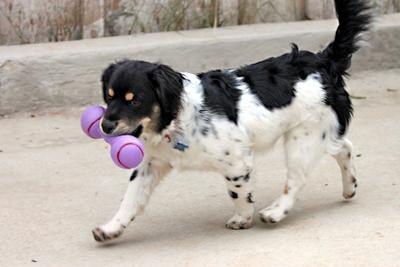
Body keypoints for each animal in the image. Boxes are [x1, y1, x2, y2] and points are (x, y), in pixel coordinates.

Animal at [93, 0, 372, 243]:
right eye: (109, 97)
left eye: (135, 100)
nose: (105, 126)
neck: (177, 121)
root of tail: (324, 61)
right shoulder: (151, 165)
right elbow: (131, 199)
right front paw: (110, 228)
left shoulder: (237, 162)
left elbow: (238, 193)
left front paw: (242, 218)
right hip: (318, 134)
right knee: (345, 147)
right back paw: (350, 187)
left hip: (302, 139)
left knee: (297, 179)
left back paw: (275, 211)